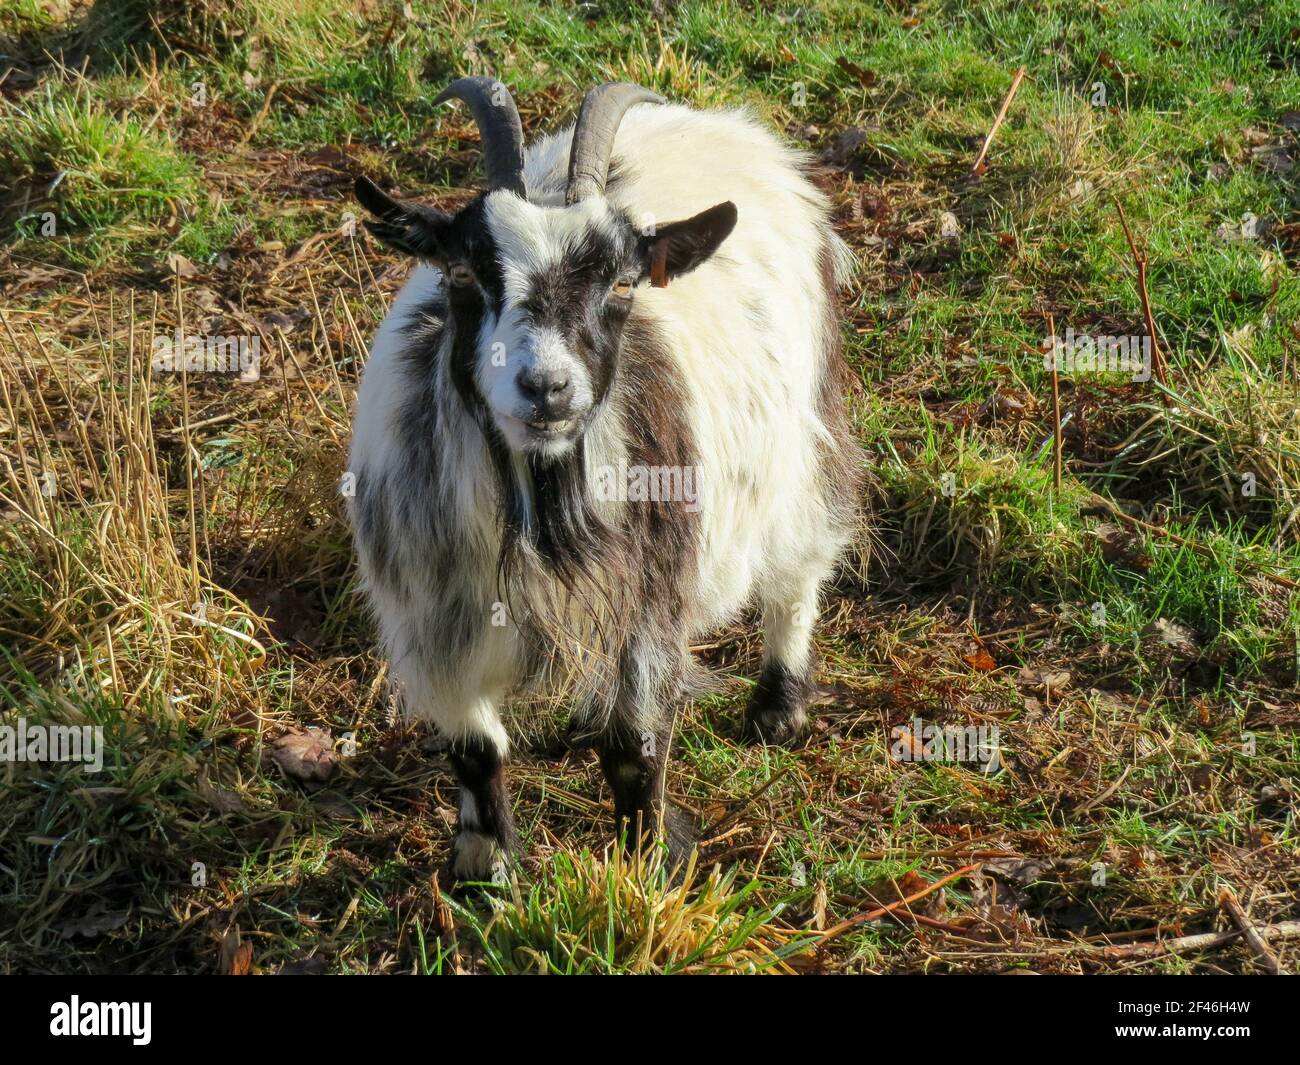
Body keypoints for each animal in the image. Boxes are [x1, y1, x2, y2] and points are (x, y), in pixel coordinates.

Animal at [348, 77, 861, 882]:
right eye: (462, 274)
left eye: (622, 284)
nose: (546, 387)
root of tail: (715, 120)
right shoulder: (432, 616)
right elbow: (475, 750)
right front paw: (483, 871)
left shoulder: (648, 600)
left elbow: (633, 749)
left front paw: (648, 865)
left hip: (806, 436)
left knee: (800, 564)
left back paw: (779, 705)